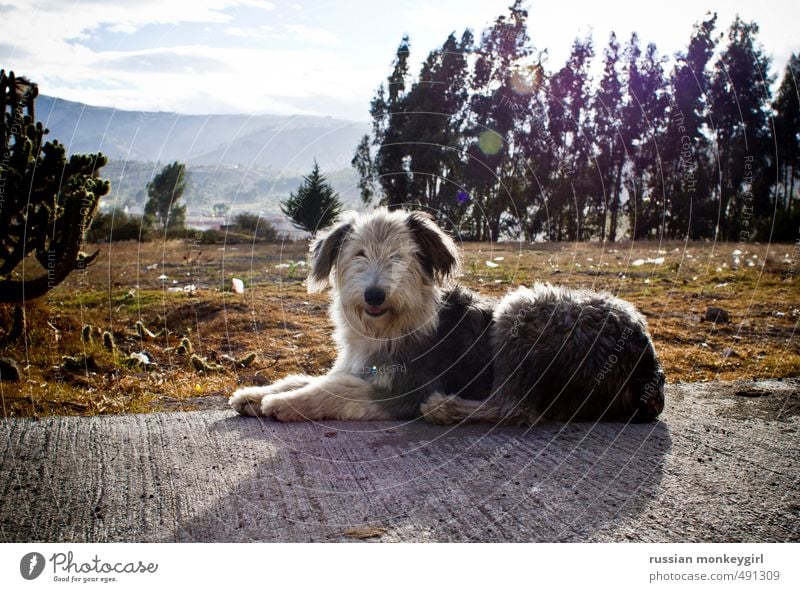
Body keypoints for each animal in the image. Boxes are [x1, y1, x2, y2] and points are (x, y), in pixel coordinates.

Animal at [228, 210, 664, 424]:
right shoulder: (358, 366)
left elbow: (333, 389)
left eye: (399, 257)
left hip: (524, 311)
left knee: (518, 409)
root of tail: (648, 367)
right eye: (359, 254)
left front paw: (285, 403)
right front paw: (257, 393)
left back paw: (447, 409)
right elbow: (310, 377)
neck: (393, 325)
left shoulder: (408, 387)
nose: (374, 294)